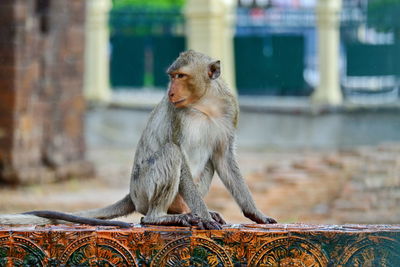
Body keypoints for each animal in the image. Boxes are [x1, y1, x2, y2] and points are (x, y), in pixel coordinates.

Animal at [0, 50, 276, 230]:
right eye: (172, 76)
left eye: (181, 76)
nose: (170, 91)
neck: (204, 104)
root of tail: (132, 195)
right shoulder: (177, 115)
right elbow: (178, 151)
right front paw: (205, 216)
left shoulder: (230, 110)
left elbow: (223, 157)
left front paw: (256, 214)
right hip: (143, 190)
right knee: (170, 155)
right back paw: (163, 217)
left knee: (207, 162)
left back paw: (184, 213)